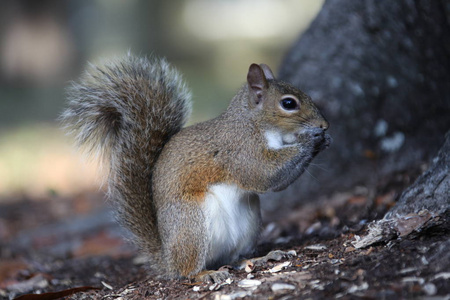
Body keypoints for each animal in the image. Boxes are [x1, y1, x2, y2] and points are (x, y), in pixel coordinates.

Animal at [61, 54, 328, 284]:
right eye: (288, 103)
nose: (323, 125)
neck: (252, 123)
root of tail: (167, 259)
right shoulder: (240, 150)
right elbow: (264, 175)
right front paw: (311, 140)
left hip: (249, 224)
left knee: (234, 258)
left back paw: (259, 258)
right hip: (191, 225)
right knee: (187, 270)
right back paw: (205, 274)